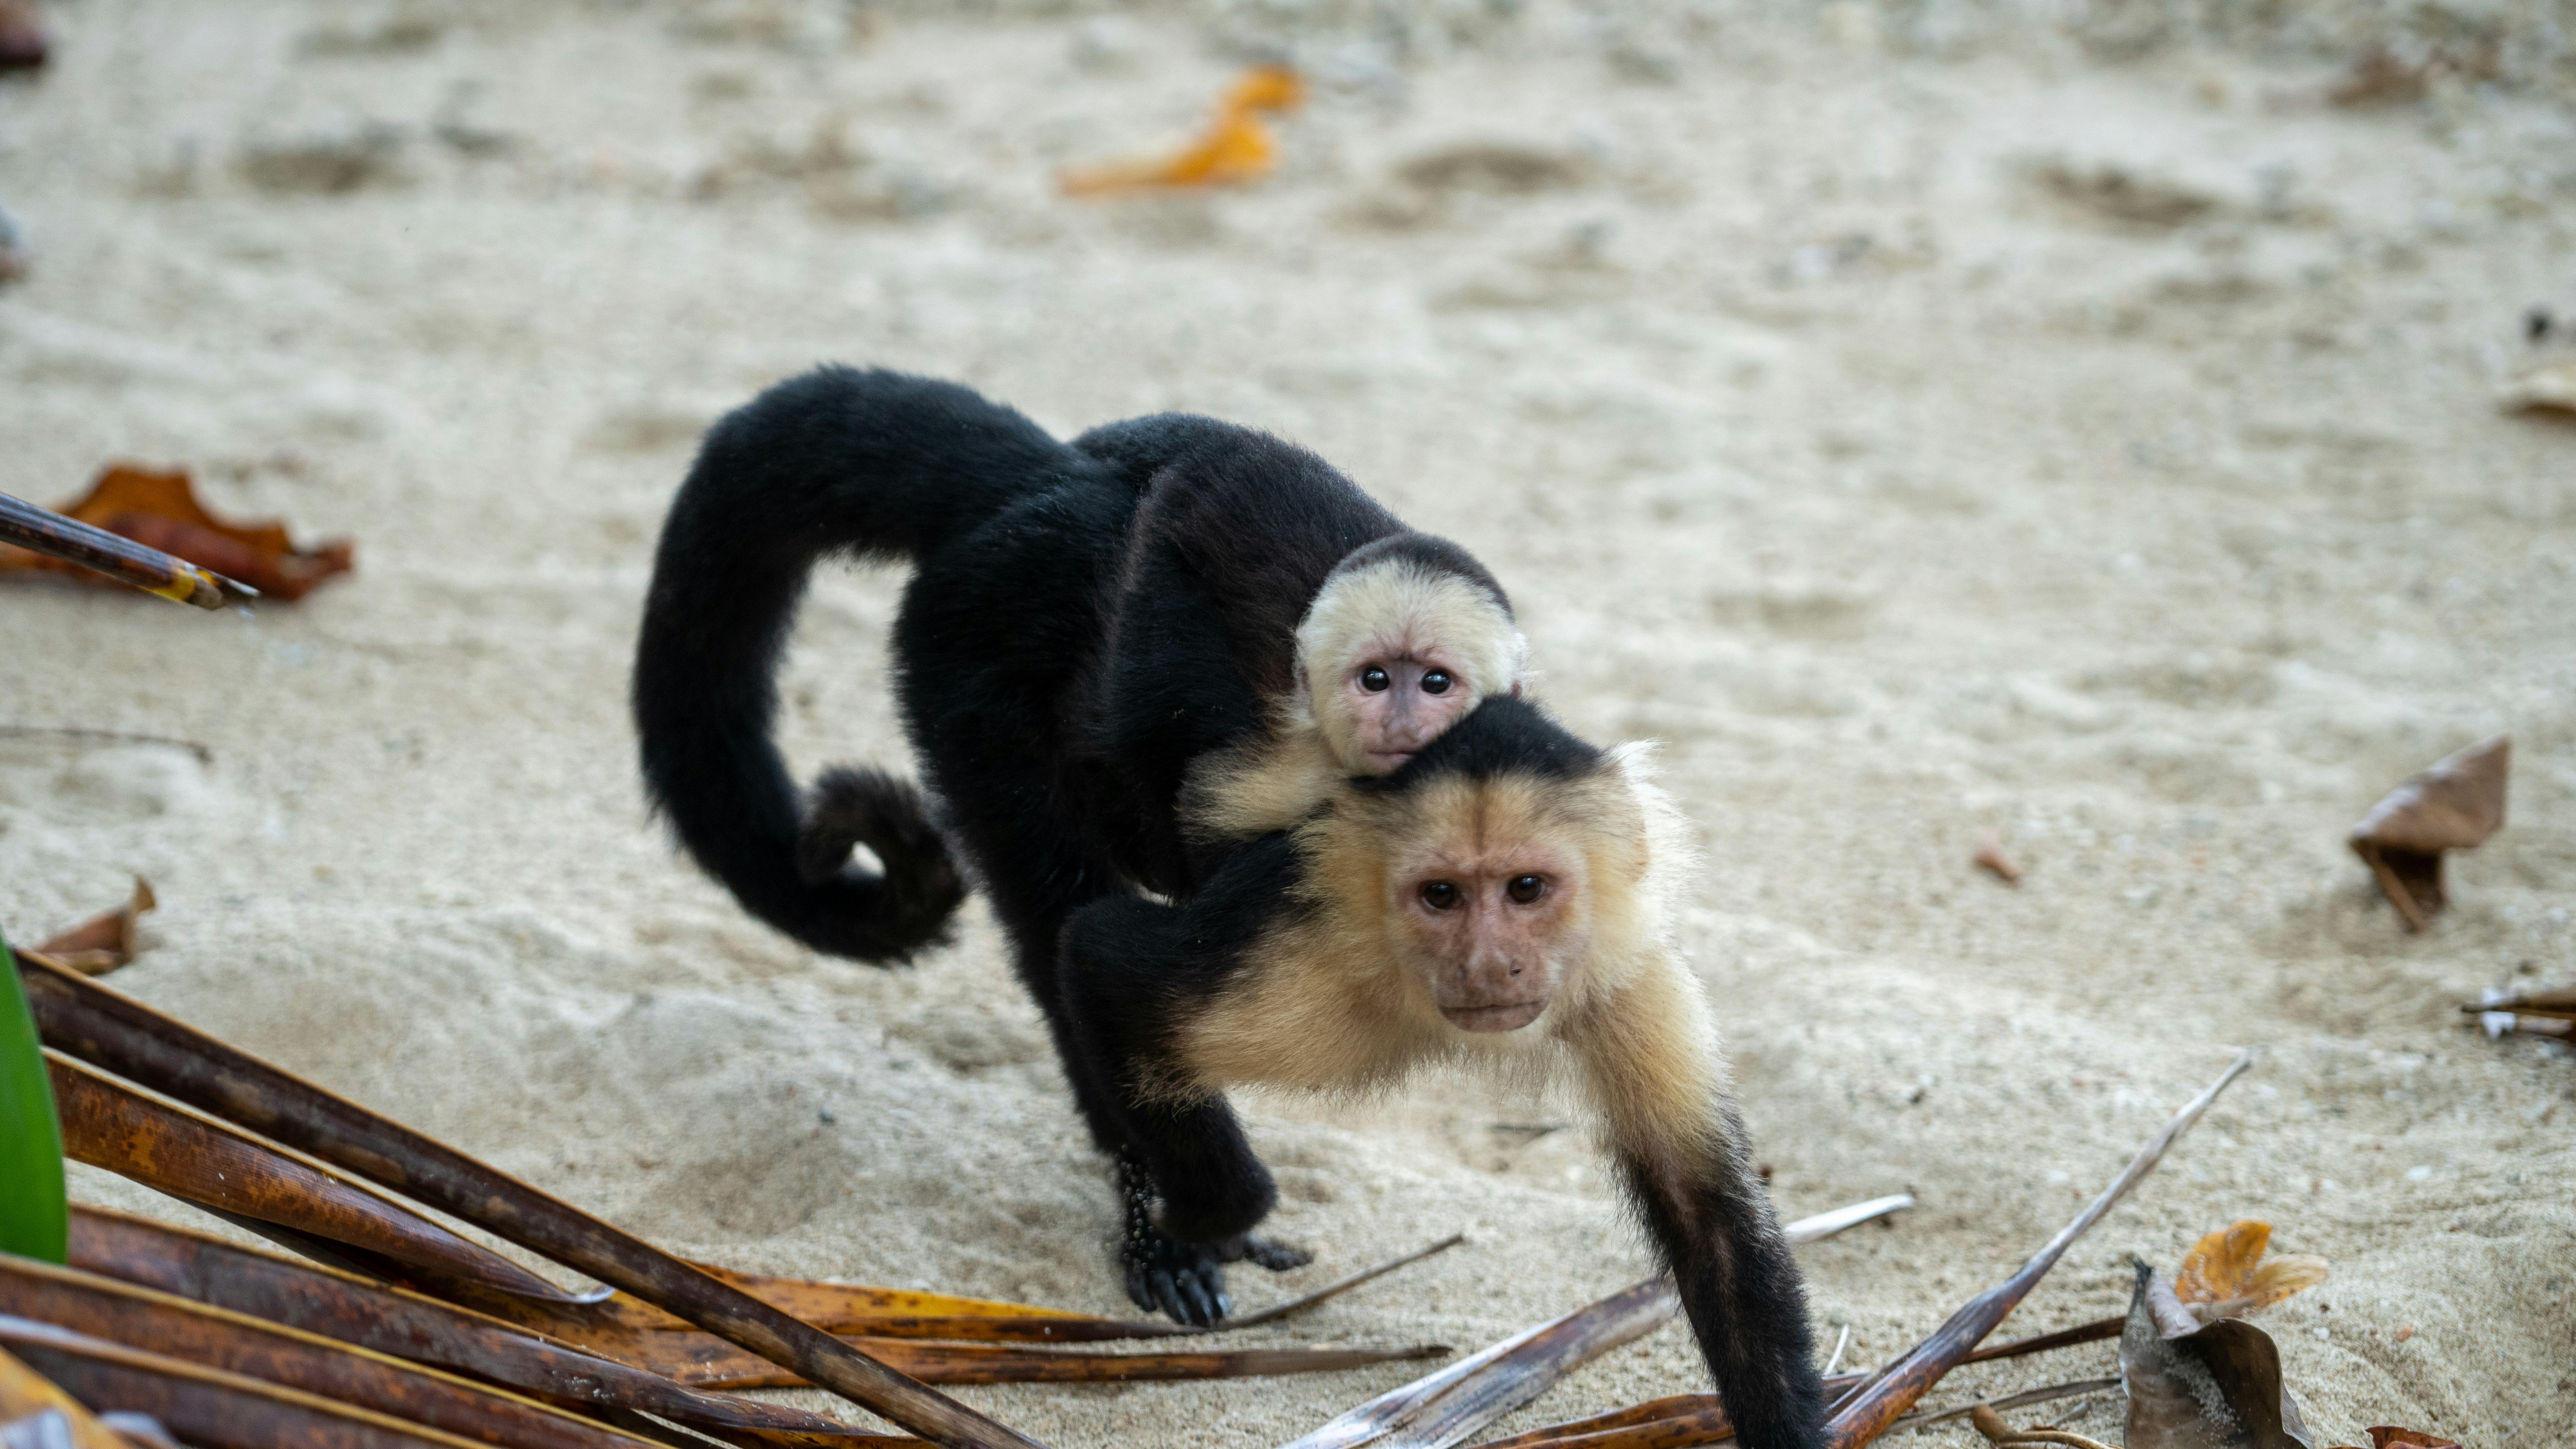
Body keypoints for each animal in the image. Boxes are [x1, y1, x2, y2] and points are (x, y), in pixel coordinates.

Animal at [633, 367, 1826, 1449]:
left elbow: (1715, 1228)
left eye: (1527, 891)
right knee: (1057, 901)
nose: (1493, 966)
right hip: (973, 646)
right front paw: (1193, 1215)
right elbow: (1103, 960)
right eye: (1440, 896)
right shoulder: (1298, 924)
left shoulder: (1625, 974)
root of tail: (1040, 487)